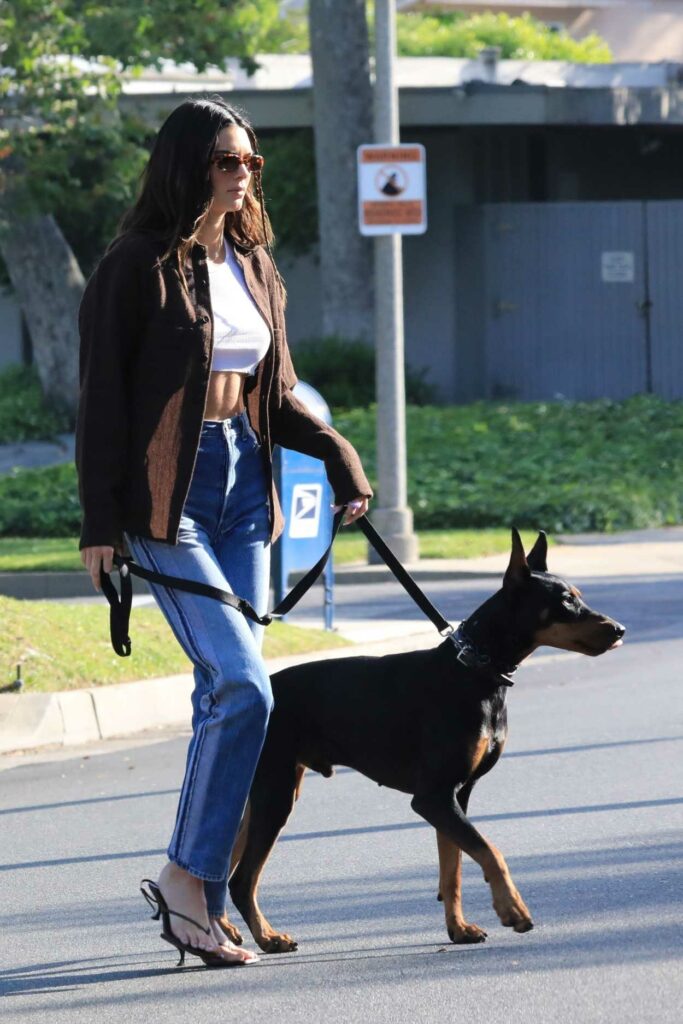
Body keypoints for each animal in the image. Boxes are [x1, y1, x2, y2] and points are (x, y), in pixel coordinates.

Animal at [223, 528, 626, 950]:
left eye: (579, 595)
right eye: (566, 601)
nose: (619, 630)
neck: (476, 670)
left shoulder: (456, 795)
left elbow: (454, 867)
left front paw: (459, 928)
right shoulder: (433, 796)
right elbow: (491, 851)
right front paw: (512, 909)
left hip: (269, 789)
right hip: (277, 792)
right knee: (242, 878)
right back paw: (267, 936)